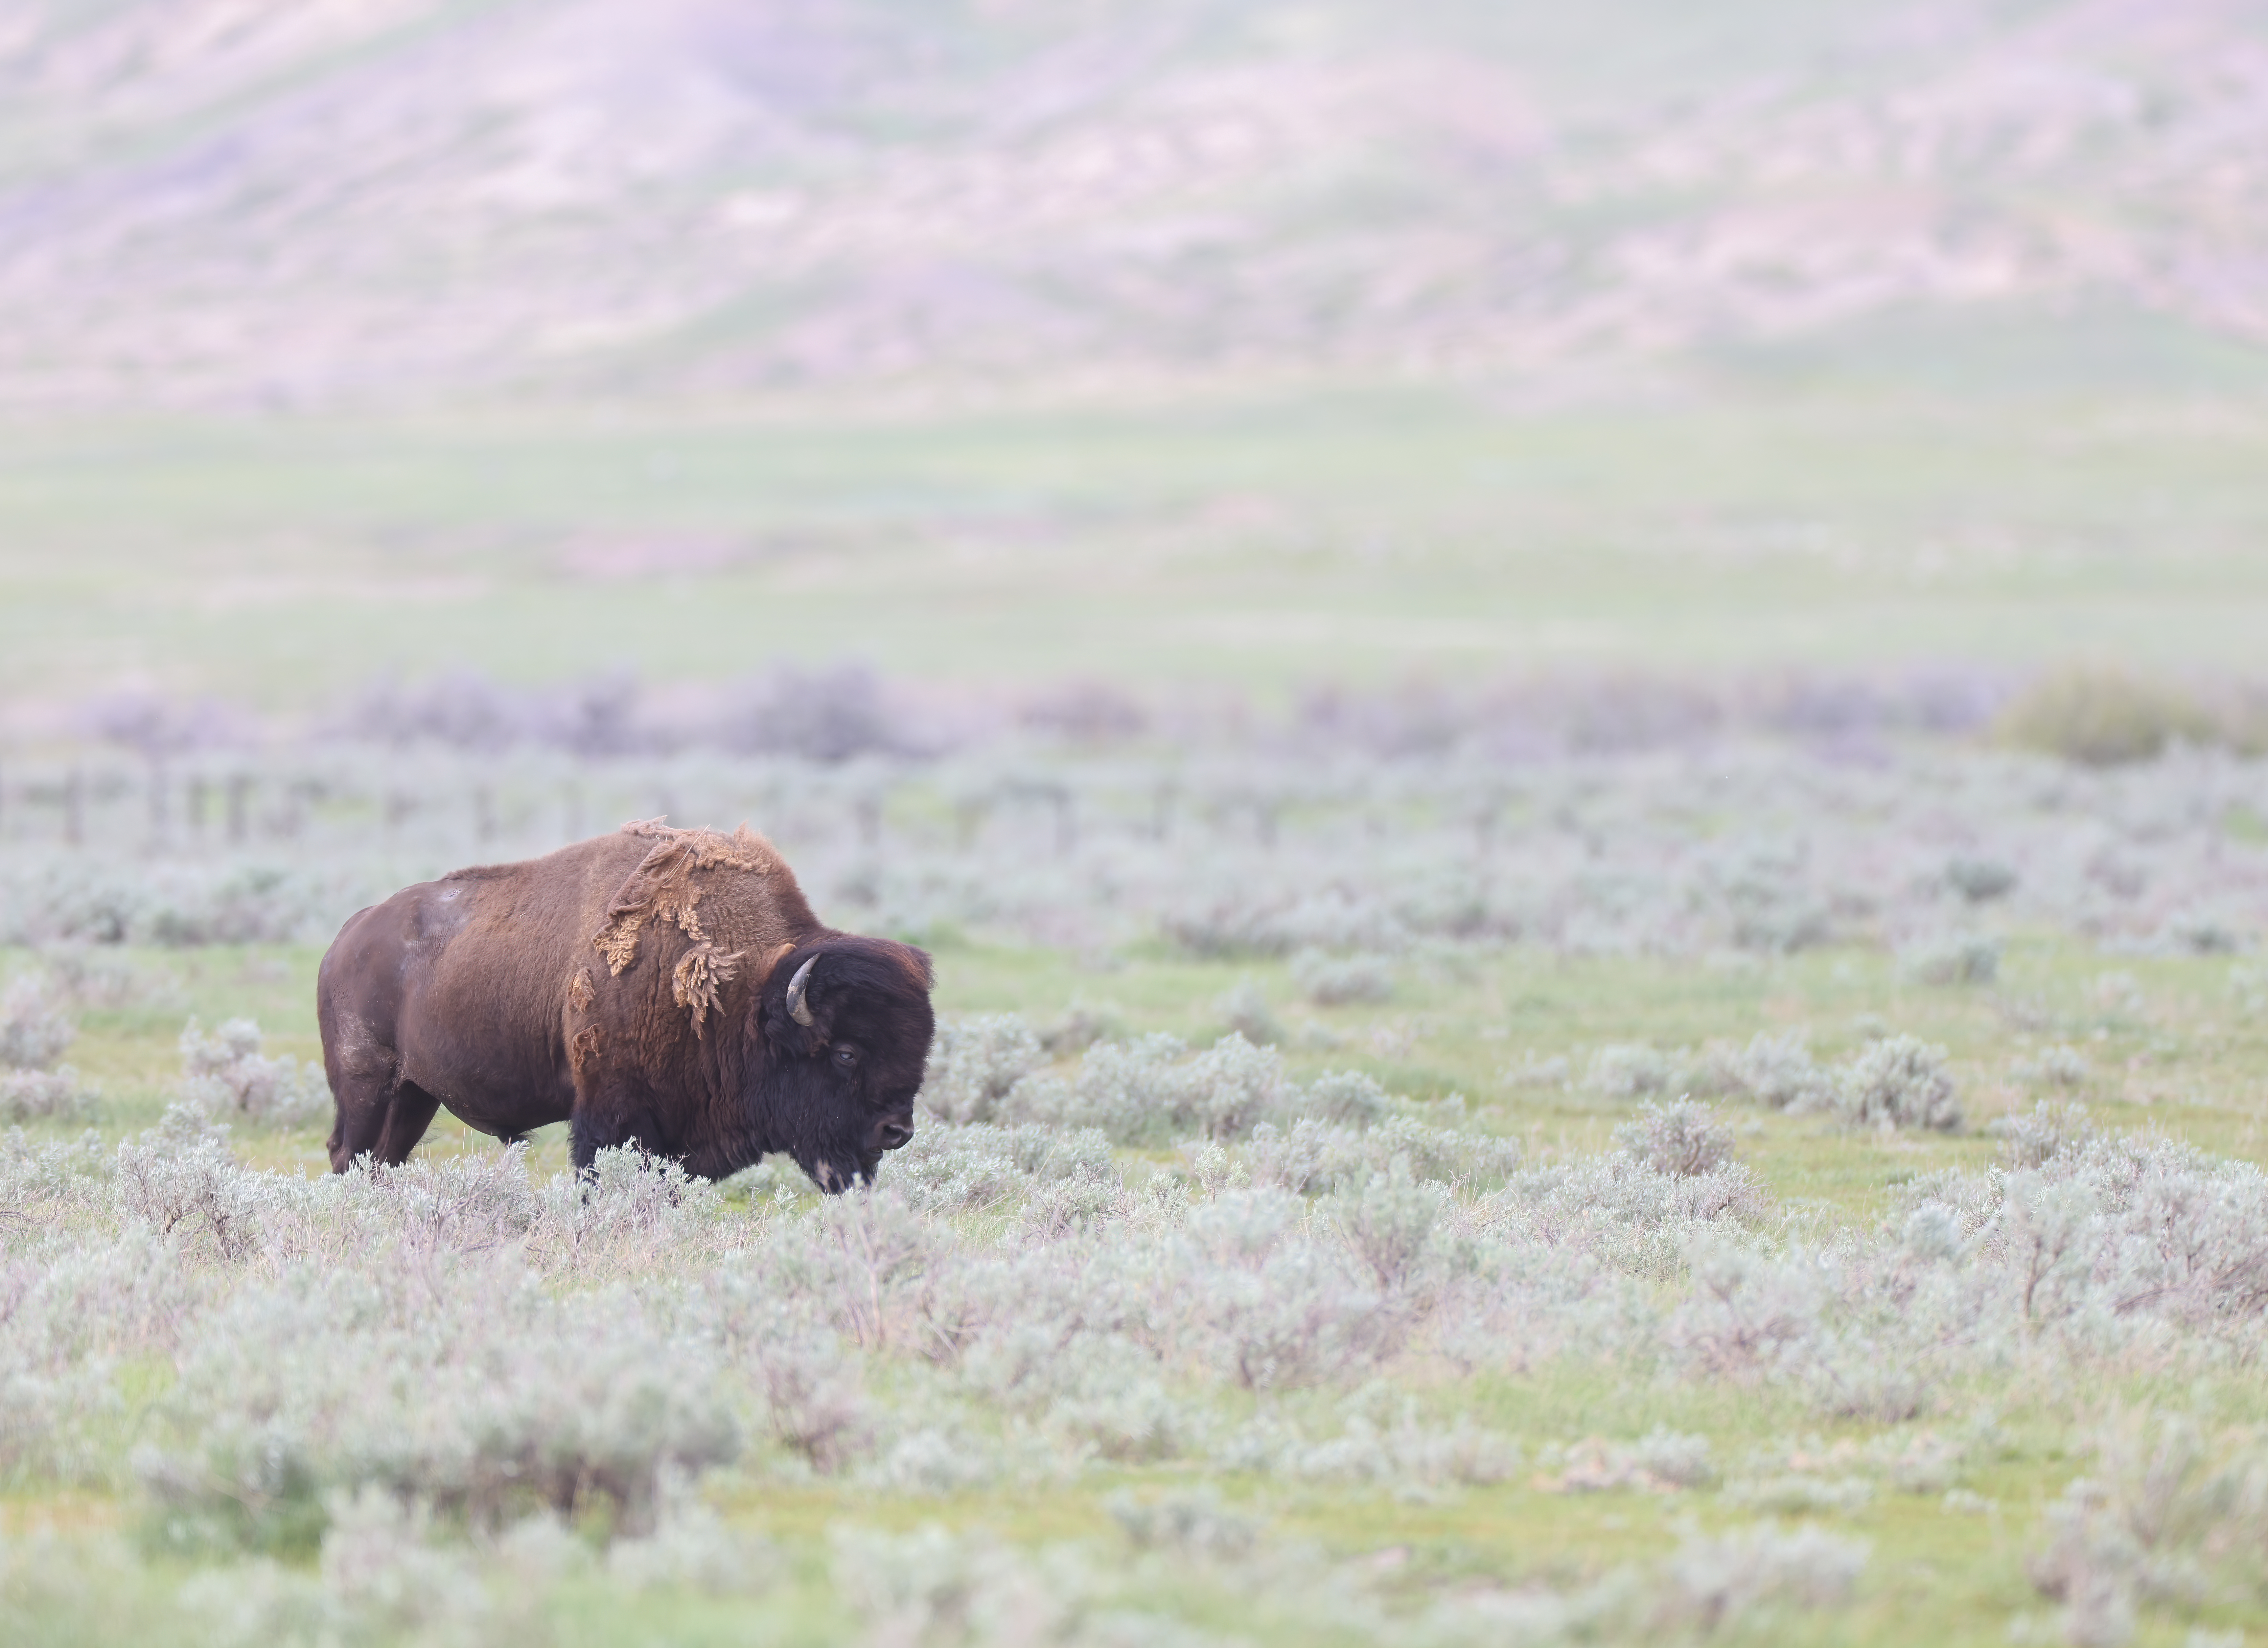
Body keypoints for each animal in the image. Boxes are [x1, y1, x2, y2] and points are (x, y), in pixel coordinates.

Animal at [317, 818, 935, 1190]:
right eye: (846, 1053)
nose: (896, 1131)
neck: (746, 997)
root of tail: (346, 937)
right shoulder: (612, 1112)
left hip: (415, 1095)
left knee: (383, 1157)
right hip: (367, 1086)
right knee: (348, 1152)